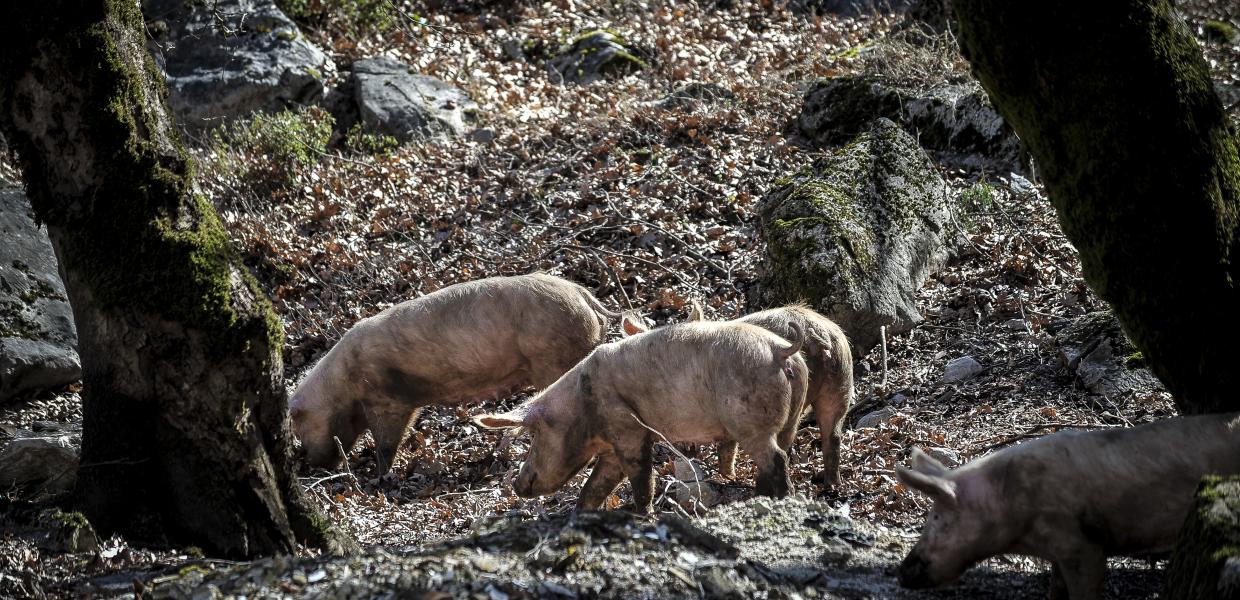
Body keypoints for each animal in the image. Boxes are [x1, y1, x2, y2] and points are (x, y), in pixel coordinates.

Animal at [288, 271, 620, 473]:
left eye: (299, 428)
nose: (311, 464)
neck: (344, 386)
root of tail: (583, 295)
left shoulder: (388, 398)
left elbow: (387, 439)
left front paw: (380, 475)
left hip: (553, 357)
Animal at [471, 322, 803, 513]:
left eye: (535, 435)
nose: (516, 484)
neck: (582, 403)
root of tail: (780, 349)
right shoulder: (611, 448)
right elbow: (596, 485)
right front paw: (581, 513)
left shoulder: (629, 430)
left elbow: (642, 477)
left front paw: (641, 513)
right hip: (791, 417)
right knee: (781, 453)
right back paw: (761, 497)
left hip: (750, 423)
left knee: (776, 458)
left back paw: (781, 499)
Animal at [629, 304, 853, 488]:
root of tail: (818, 335)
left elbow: (727, 448)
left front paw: (728, 477)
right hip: (840, 383)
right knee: (832, 435)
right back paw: (831, 484)